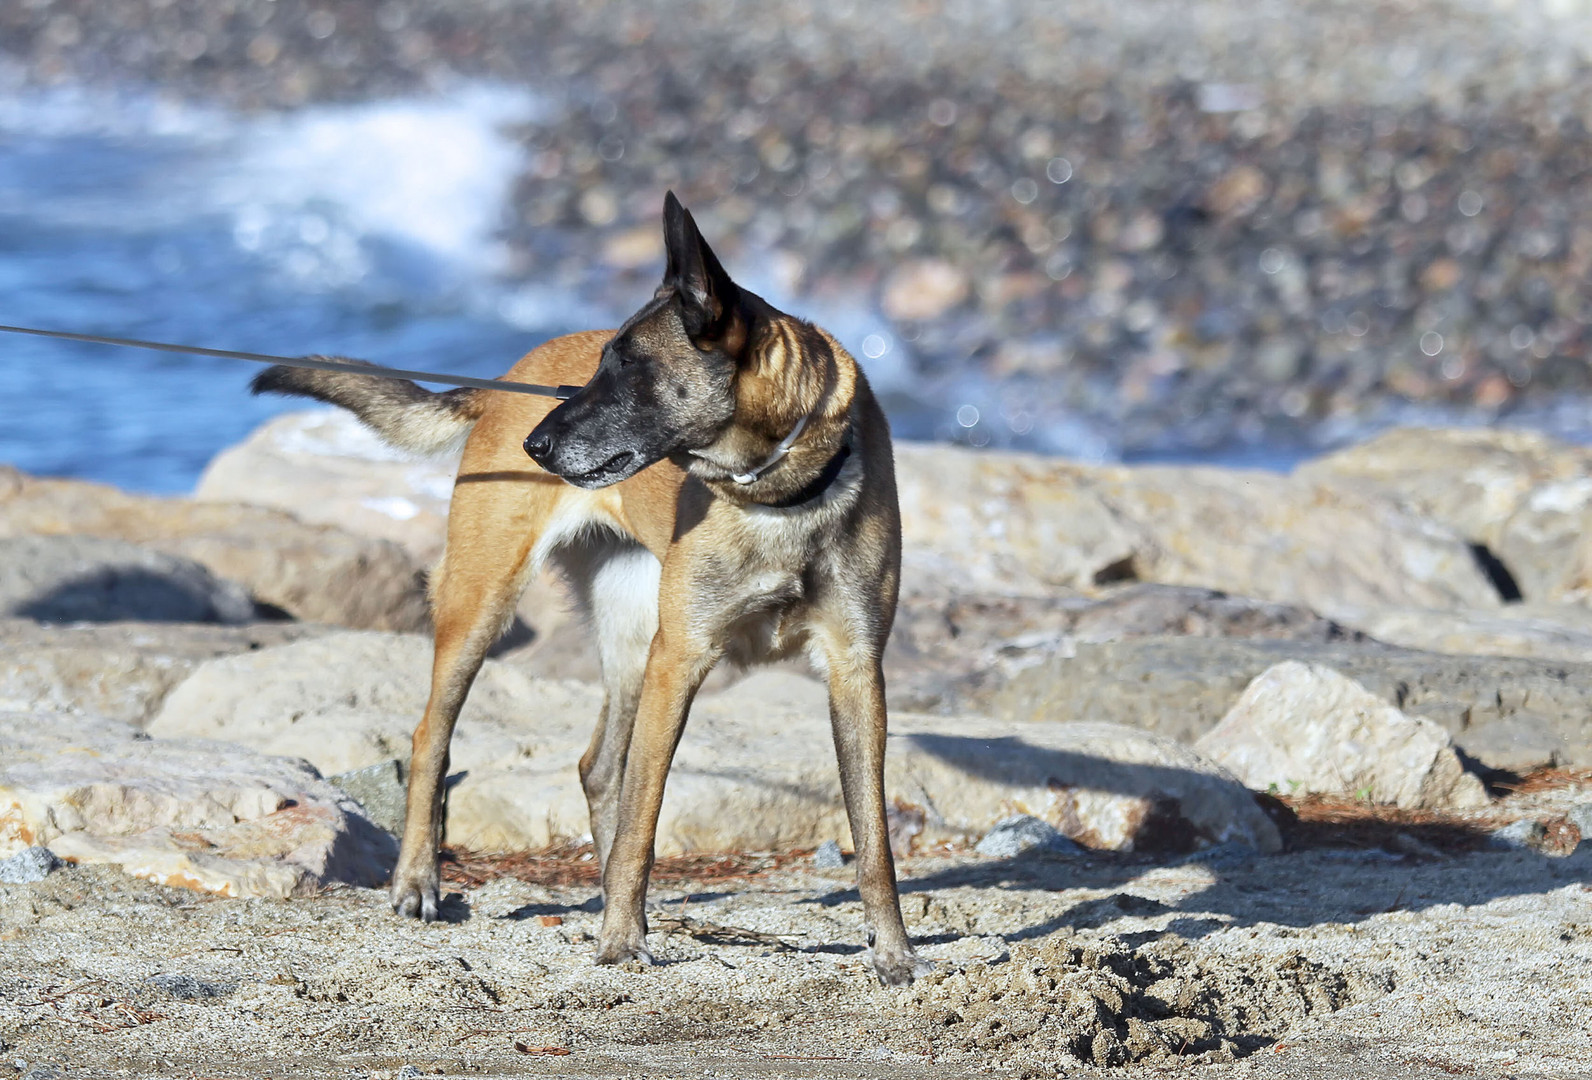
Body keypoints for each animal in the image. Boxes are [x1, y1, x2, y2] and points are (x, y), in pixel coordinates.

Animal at [253, 194, 929, 987]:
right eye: (606, 363)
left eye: (631, 368)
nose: (536, 447)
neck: (782, 495)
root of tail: (507, 379)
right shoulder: (682, 659)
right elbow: (644, 820)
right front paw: (620, 944)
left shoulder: (855, 671)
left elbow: (873, 836)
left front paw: (894, 951)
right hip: (488, 608)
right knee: (432, 739)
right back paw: (420, 881)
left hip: (632, 643)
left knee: (600, 768)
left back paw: (605, 895)